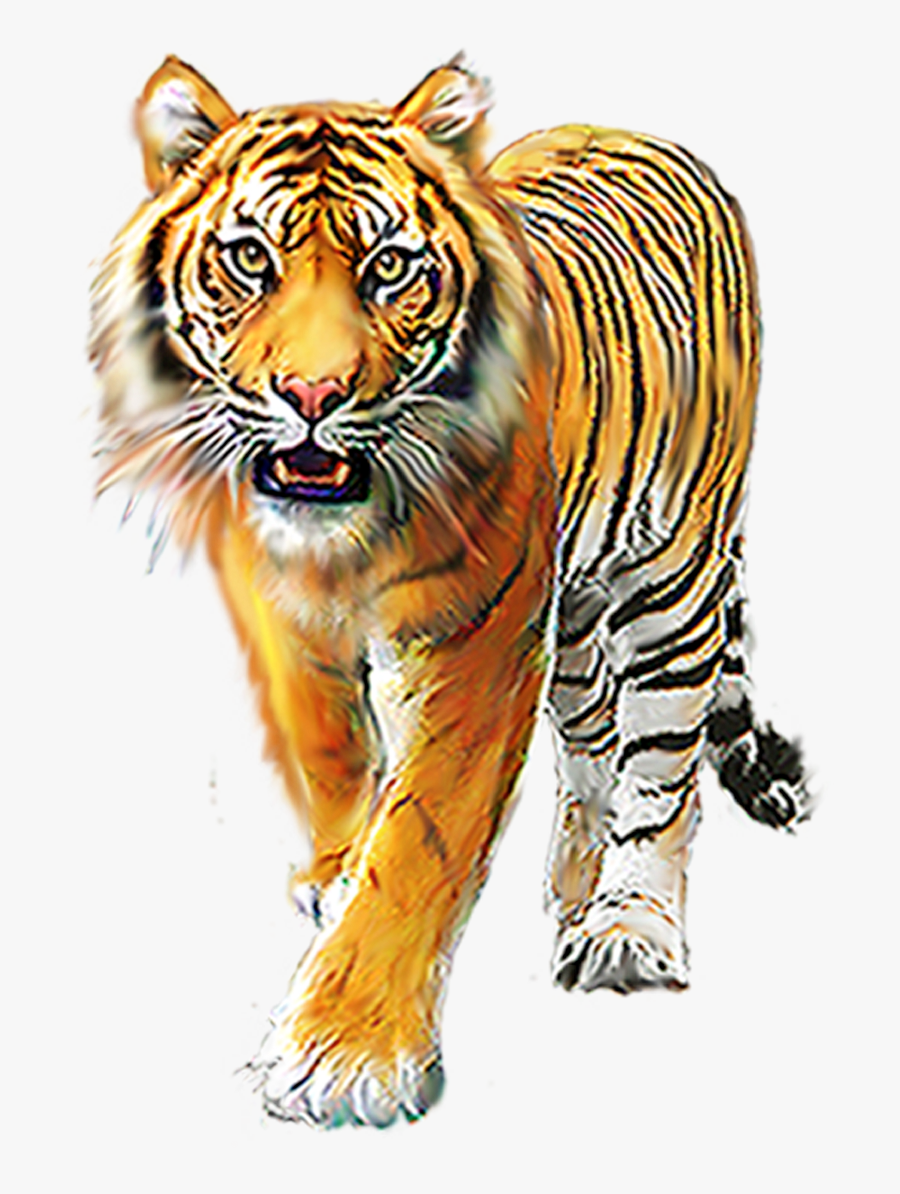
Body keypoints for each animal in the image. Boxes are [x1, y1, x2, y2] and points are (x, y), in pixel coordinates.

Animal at [90, 55, 809, 1128]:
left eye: (389, 266)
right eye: (251, 258)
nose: (313, 396)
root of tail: (640, 133)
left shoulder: (480, 641)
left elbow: (423, 835)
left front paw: (346, 1054)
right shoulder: (280, 612)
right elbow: (330, 754)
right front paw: (337, 874)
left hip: (670, 578)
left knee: (661, 766)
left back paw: (629, 925)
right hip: (578, 612)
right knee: (591, 741)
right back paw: (573, 883)